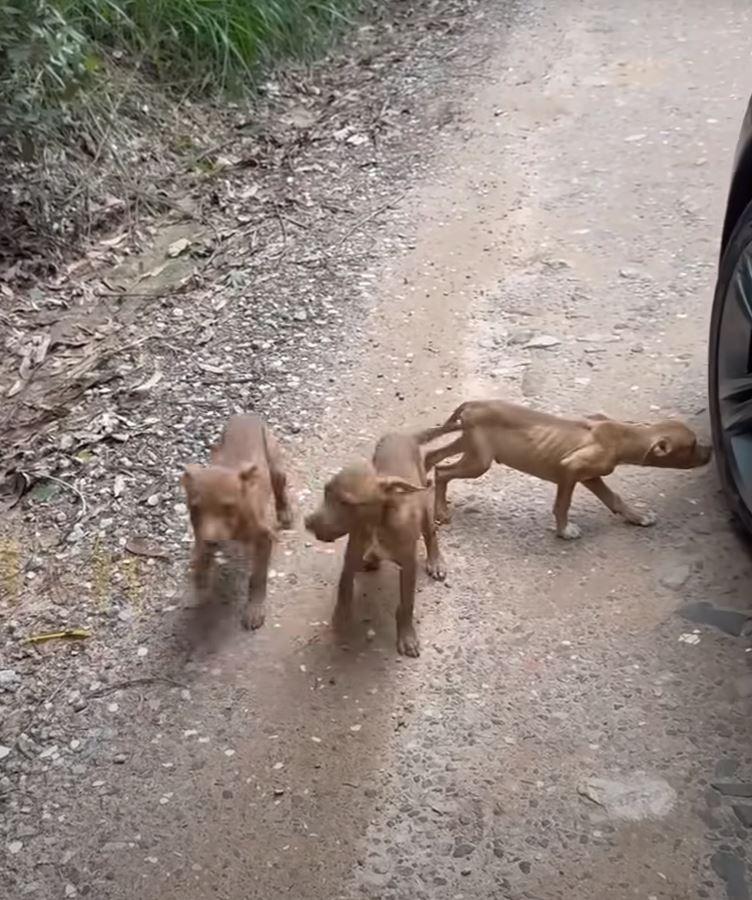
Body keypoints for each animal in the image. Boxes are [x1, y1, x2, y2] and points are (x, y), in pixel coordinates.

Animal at [182, 414, 294, 628]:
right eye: (195, 508)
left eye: (228, 507)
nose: (212, 541)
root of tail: (247, 415)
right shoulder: (200, 534)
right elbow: (201, 561)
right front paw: (199, 589)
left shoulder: (264, 538)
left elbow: (257, 578)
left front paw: (254, 610)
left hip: (276, 468)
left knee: (280, 490)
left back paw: (285, 513)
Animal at [306, 428, 446, 652]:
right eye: (326, 492)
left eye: (346, 503)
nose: (308, 523)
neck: (377, 523)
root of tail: (403, 434)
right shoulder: (352, 554)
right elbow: (344, 587)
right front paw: (341, 617)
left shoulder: (408, 564)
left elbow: (407, 604)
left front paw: (407, 635)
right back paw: (372, 559)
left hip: (424, 506)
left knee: (431, 534)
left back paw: (436, 562)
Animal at [424, 402, 712, 540]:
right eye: (692, 445)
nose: (711, 451)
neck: (623, 436)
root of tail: (473, 403)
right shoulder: (570, 469)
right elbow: (562, 504)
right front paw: (564, 532)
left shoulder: (590, 476)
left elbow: (614, 499)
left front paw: (637, 517)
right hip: (479, 461)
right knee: (443, 472)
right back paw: (441, 512)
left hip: (469, 445)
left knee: (434, 459)